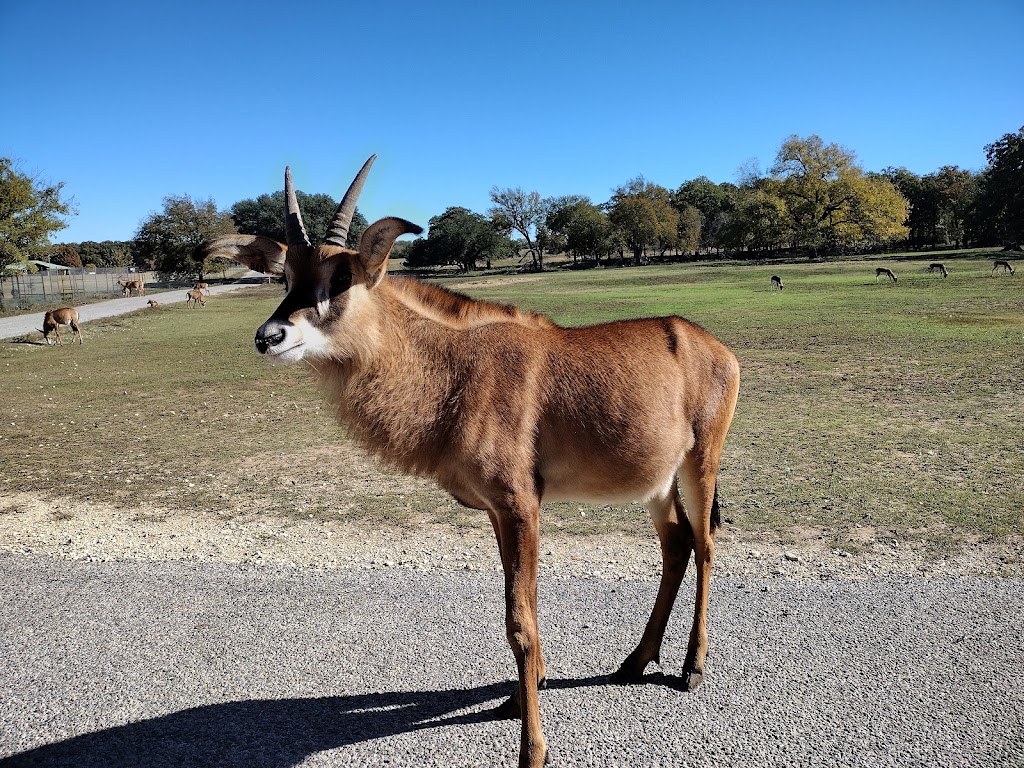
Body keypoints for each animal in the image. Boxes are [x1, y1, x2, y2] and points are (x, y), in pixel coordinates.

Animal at [203, 156, 741, 768]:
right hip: (657, 481)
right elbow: (521, 609)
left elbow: (520, 623)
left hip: (701, 460)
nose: (269, 336)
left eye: (340, 278)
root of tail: (714, 347)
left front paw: (533, 747)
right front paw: (520, 696)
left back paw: (692, 668)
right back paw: (635, 660)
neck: (453, 368)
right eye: (286, 276)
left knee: (705, 544)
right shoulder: (497, 512)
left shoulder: (521, 505)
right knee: (676, 544)